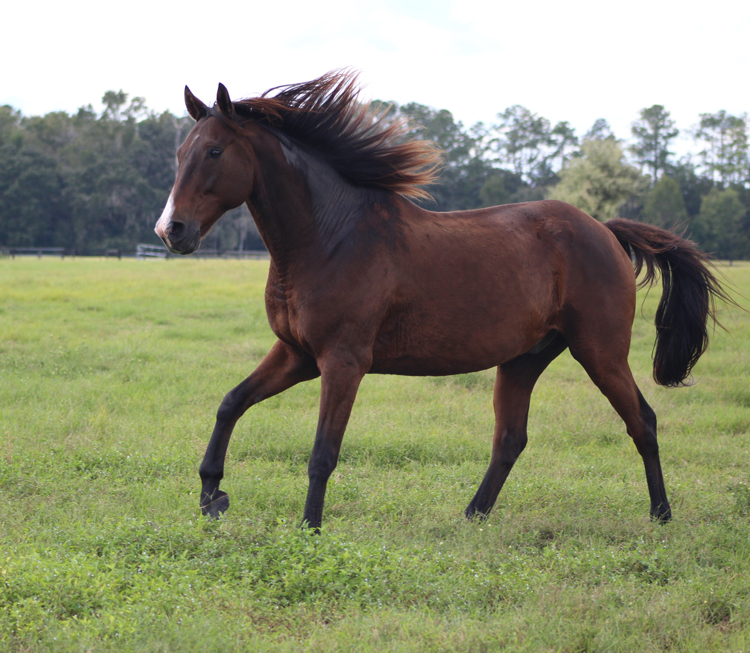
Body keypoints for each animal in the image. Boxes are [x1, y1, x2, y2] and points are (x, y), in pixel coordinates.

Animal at [154, 71, 729, 531]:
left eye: (214, 151)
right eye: (180, 153)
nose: (171, 230)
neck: (332, 237)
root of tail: (604, 230)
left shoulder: (343, 361)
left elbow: (322, 453)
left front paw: (308, 529)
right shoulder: (297, 355)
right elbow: (230, 403)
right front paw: (212, 495)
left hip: (601, 352)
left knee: (643, 422)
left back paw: (661, 515)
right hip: (523, 360)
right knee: (510, 439)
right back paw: (472, 515)